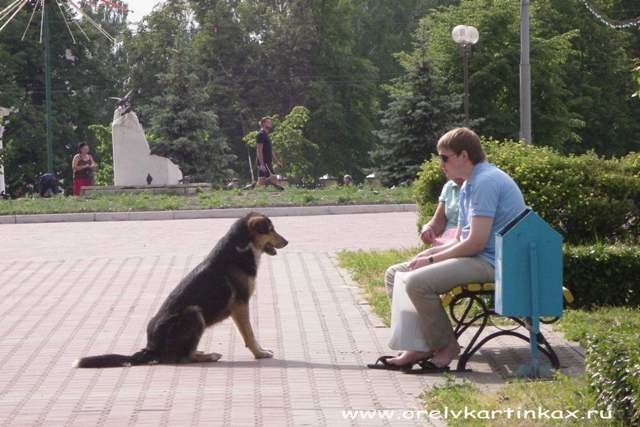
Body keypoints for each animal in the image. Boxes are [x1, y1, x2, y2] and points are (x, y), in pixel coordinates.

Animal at [72, 213, 288, 368]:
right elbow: (249, 334)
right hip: (194, 313)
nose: (287, 242)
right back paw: (208, 355)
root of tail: (151, 349)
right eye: (271, 229)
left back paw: (201, 352)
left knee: (183, 353)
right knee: (180, 358)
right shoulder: (240, 304)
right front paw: (260, 354)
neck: (241, 248)